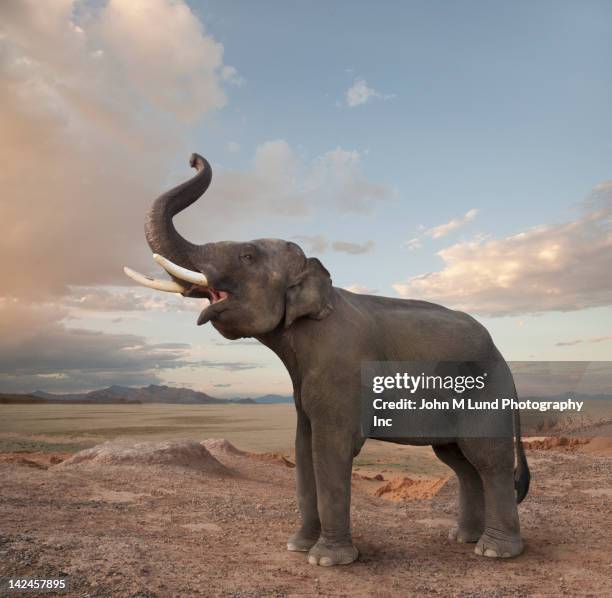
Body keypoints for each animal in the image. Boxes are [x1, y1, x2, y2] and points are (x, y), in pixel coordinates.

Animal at [125, 152, 532, 568]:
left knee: (487, 459)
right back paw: (463, 538)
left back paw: (494, 551)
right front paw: (298, 546)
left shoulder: (339, 365)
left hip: (483, 389)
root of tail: (502, 356)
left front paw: (327, 560)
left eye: (247, 255)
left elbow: (330, 449)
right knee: (461, 462)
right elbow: (304, 448)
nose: (192, 158)